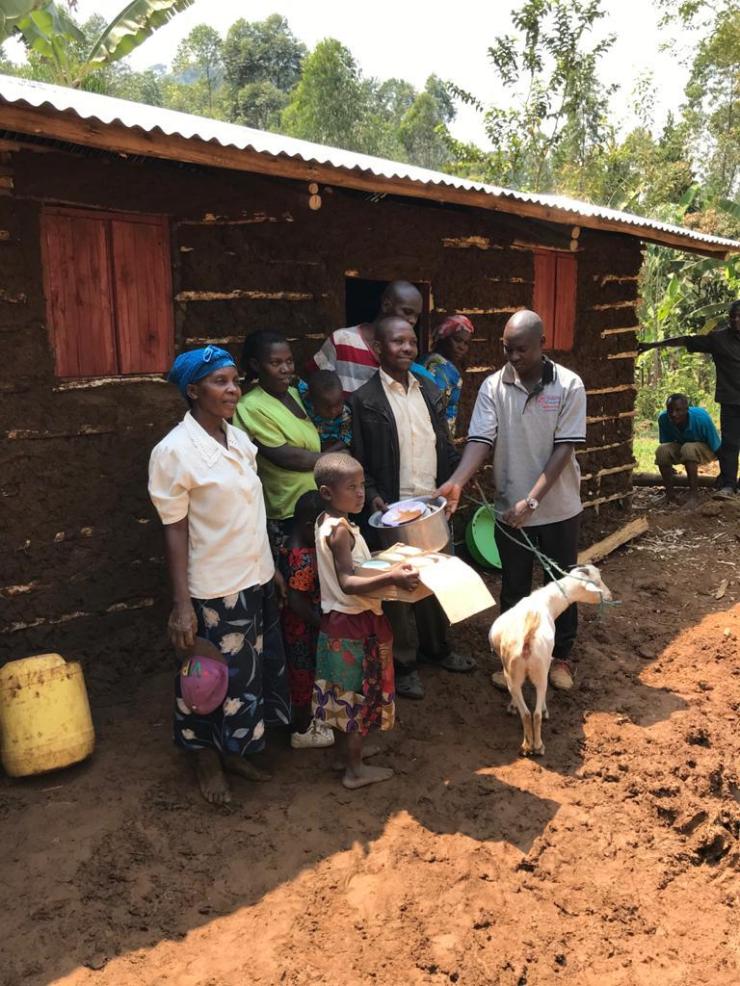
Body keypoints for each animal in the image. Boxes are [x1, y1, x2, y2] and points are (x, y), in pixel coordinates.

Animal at [488, 564, 612, 756]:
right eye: (597, 583)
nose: (610, 596)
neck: (546, 600)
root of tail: (527, 640)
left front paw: (512, 706)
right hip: (538, 671)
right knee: (535, 713)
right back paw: (537, 745)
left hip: (516, 673)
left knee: (528, 713)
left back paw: (529, 746)